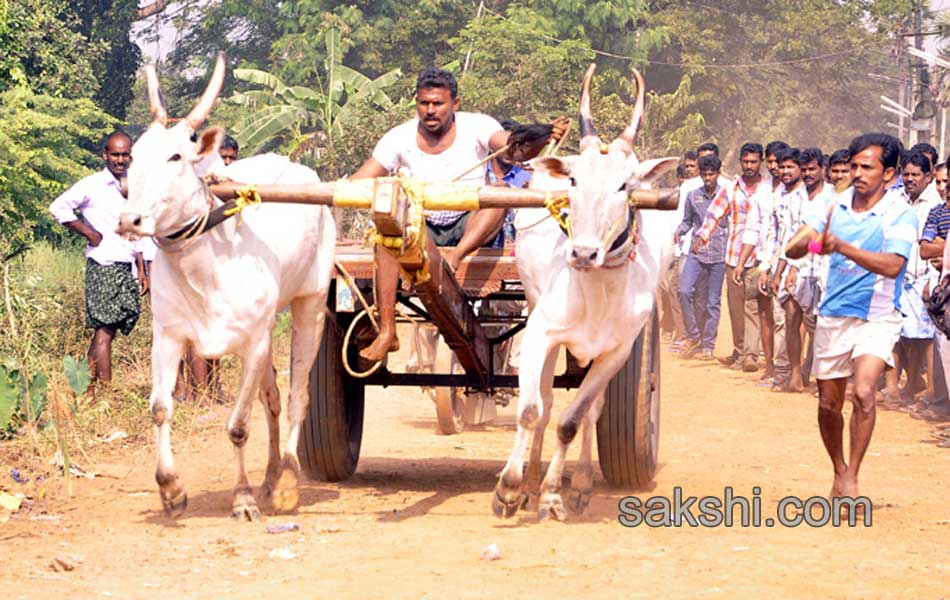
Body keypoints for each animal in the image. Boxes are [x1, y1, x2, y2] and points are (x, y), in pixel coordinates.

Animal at [117, 54, 336, 516]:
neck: (207, 272)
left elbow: (238, 426)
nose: (129, 220)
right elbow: (160, 409)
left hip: (310, 304)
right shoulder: (168, 336)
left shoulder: (252, 343)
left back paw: (286, 480)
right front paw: (170, 488)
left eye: (176, 157)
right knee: (273, 399)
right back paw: (270, 475)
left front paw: (242, 498)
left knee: (297, 396)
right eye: (133, 157)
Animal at [494, 63, 680, 516]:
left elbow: (573, 420)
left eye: (625, 185)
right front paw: (511, 487)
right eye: (575, 179)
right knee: (544, 402)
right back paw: (530, 481)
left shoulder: (617, 352)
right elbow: (532, 411)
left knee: (590, 411)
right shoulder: (541, 333)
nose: (582, 252)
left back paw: (576, 482)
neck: (598, 292)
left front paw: (554, 492)